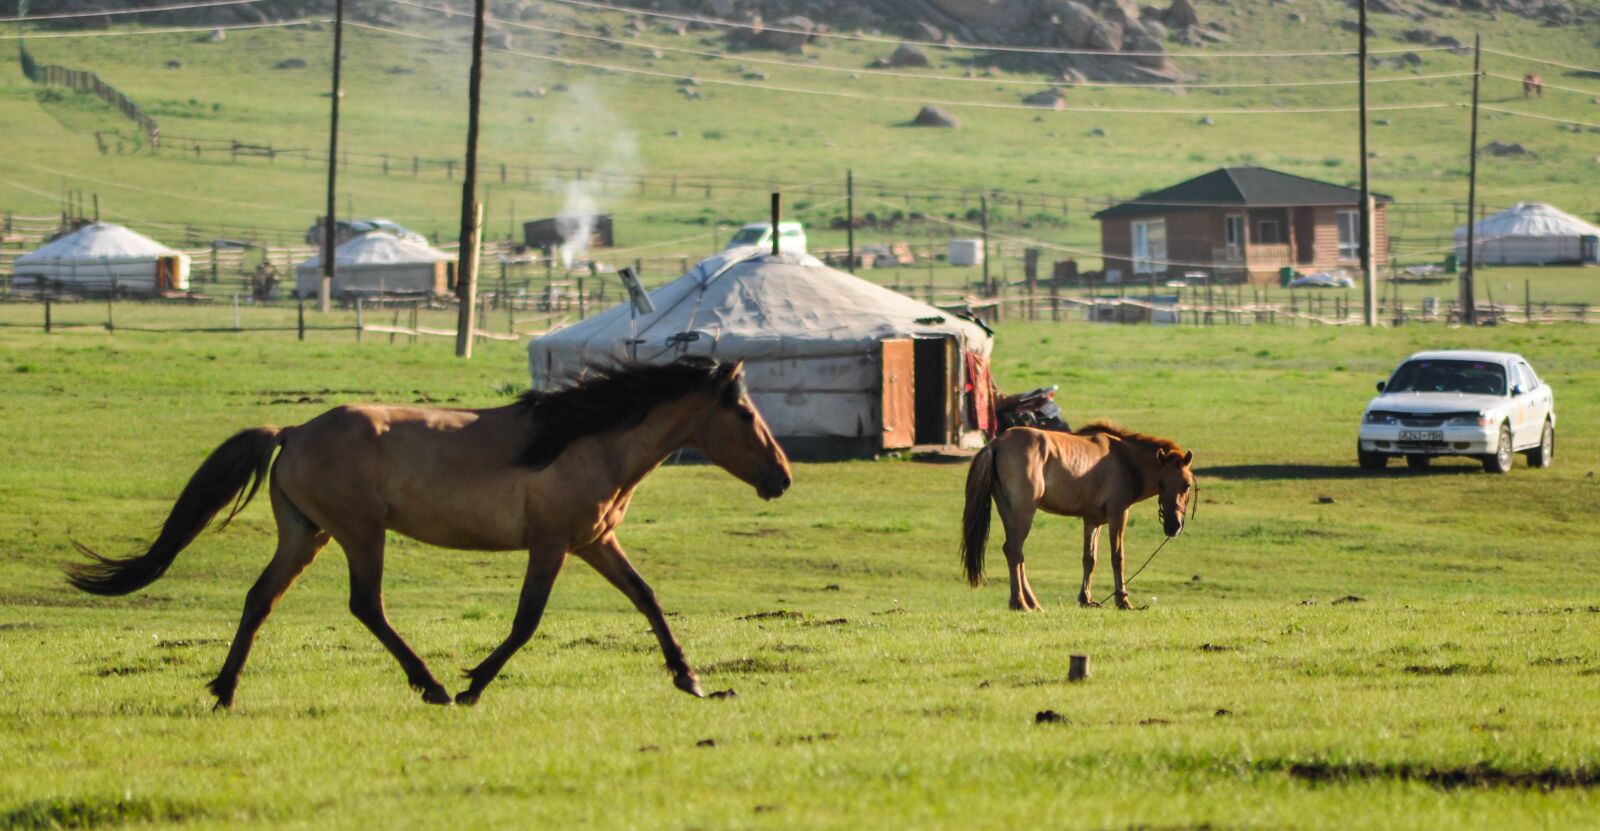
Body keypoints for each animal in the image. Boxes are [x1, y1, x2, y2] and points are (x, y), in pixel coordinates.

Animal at [66, 359, 792, 709]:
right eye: (745, 413)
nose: (782, 477)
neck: (585, 441)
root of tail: (293, 432)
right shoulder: (553, 545)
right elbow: (527, 622)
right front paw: (472, 685)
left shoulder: (593, 542)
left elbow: (646, 598)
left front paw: (691, 679)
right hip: (360, 533)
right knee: (366, 605)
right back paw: (432, 684)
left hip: (306, 534)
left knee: (259, 599)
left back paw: (224, 691)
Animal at [960, 422, 1194, 611]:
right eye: (1162, 484)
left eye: (1186, 485)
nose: (1173, 526)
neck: (1125, 460)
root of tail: (995, 444)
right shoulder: (1118, 514)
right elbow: (1117, 557)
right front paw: (1123, 600)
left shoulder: (1093, 521)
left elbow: (1089, 559)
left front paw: (1086, 599)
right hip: (1024, 512)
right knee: (1013, 550)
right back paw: (1020, 603)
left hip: (1008, 512)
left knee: (1017, 555)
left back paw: (1032, 603)